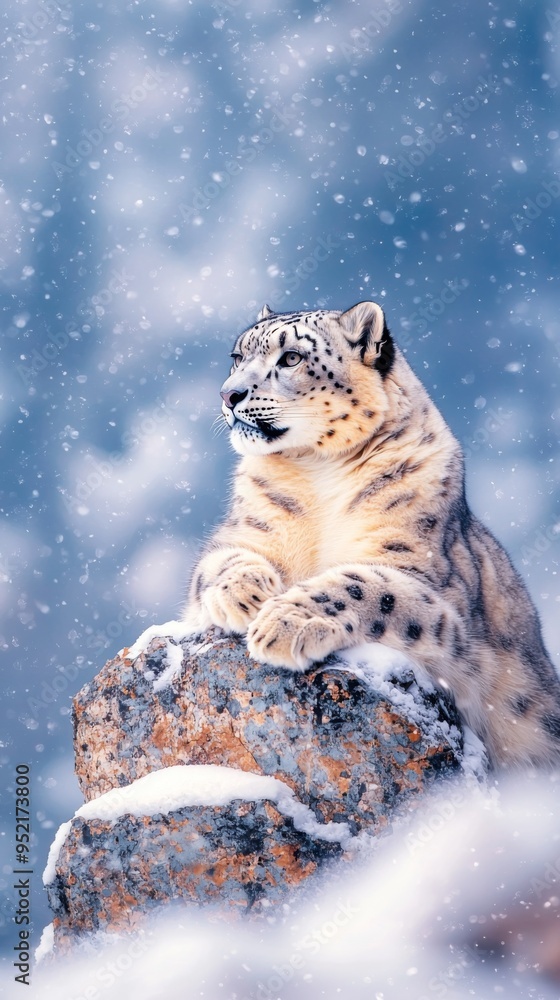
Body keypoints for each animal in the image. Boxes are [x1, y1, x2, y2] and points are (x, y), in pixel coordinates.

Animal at [183, 300, 560, 767]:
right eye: (237, 357)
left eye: (291, 358)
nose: (229, 394)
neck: (316, 471)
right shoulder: (246, 534)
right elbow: (217, 563)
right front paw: (245, 595)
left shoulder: (422, 575)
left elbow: (363, 583)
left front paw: (284, 623)